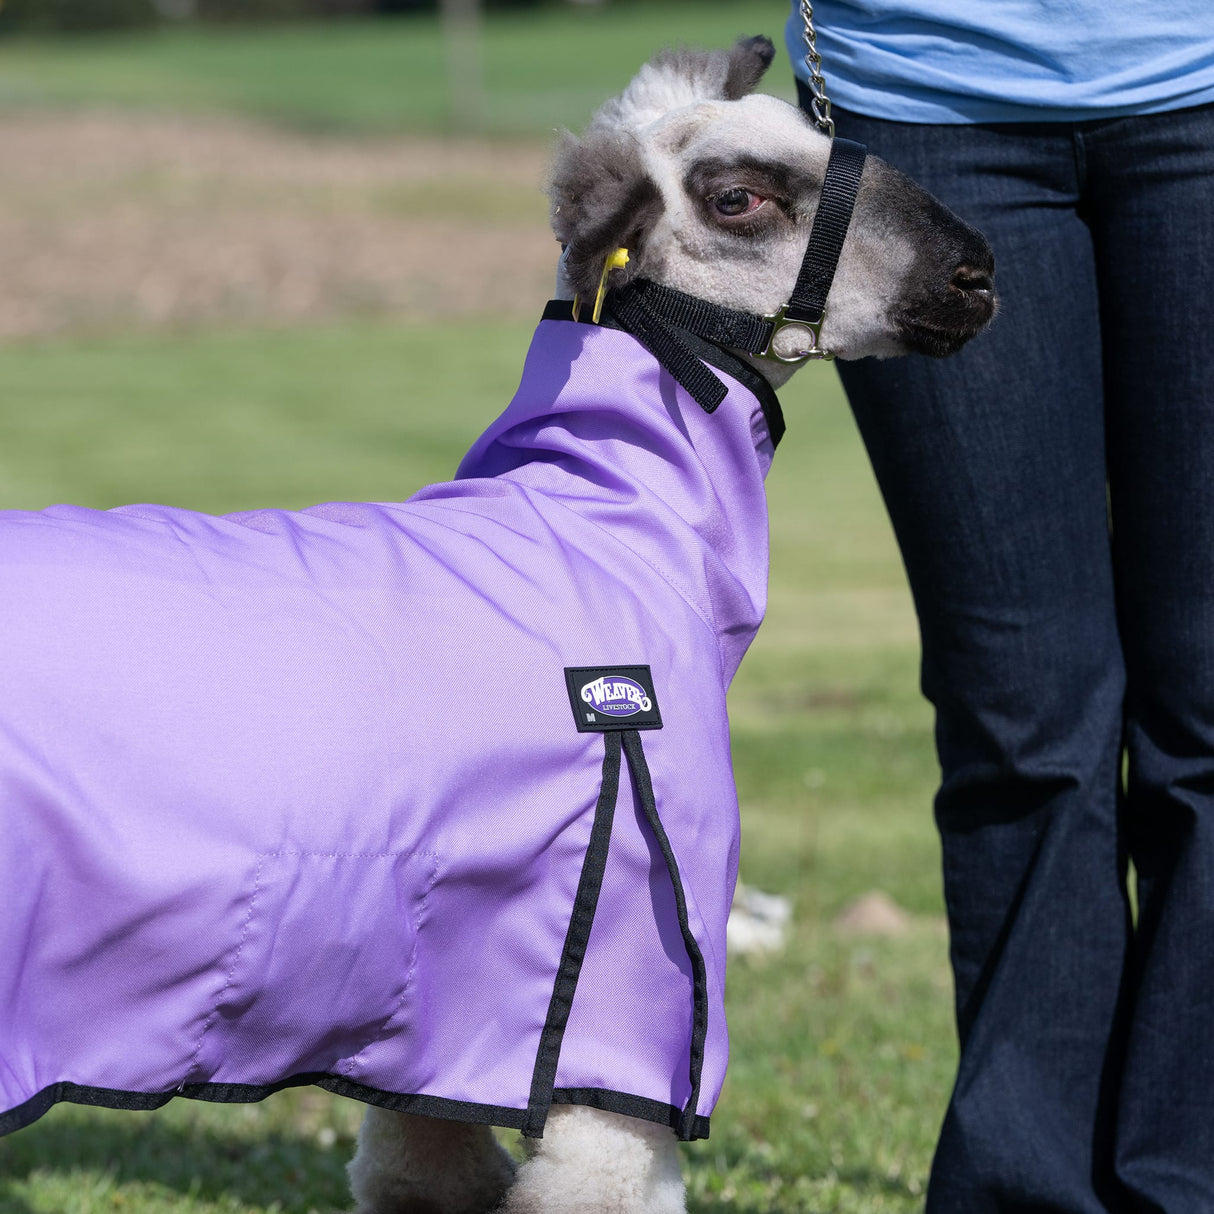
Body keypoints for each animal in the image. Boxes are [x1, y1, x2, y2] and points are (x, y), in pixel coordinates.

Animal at [0, 34, 995, 1214]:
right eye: (739, 197)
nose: (974, 274)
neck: (601, 516)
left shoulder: (446, 993)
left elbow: (418, 1163)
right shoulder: (633, 963)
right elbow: (600, 1181)